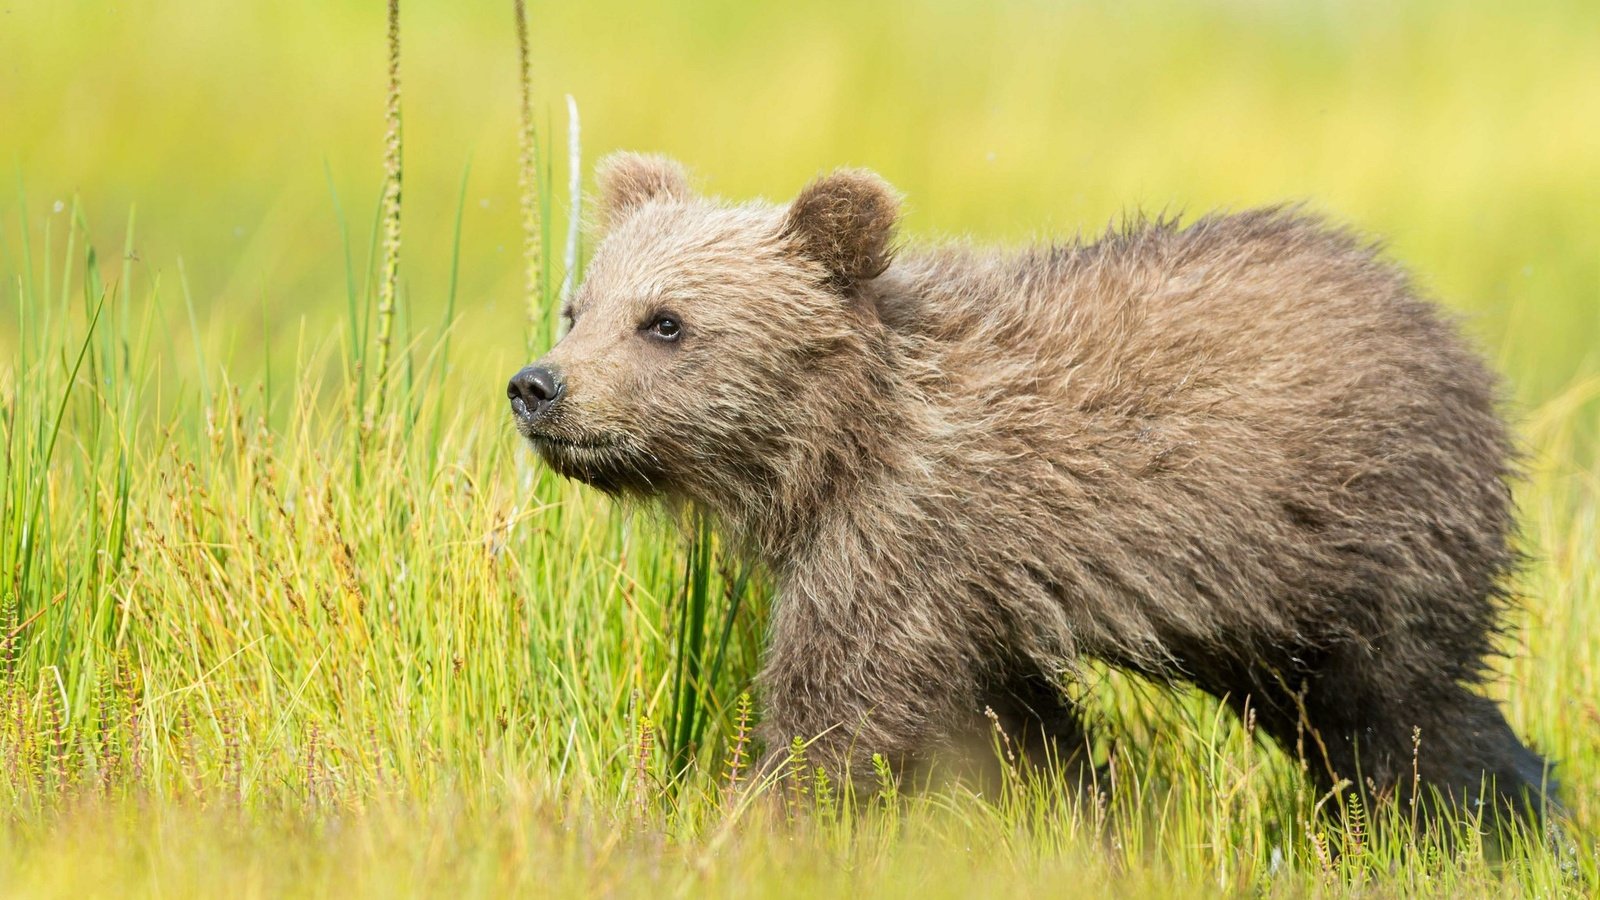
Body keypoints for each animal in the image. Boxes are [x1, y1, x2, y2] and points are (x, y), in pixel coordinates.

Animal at [508, 152, 1548, 819]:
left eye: (665, 321)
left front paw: (747, 821)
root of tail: (1447, 330)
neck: (831, 452)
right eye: (576, 307)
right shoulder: (970, 606)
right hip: (1263, 613)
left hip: (1364, 539)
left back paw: (1485, 822)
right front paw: (1086, 818)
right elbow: (1020, 736)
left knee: (1401, 718)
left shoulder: (905, 539)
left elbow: (836, 715)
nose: (537, 388)